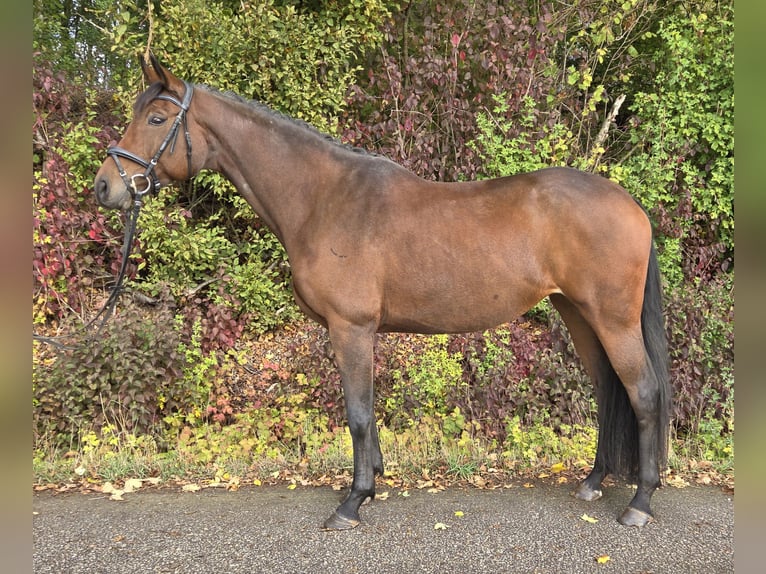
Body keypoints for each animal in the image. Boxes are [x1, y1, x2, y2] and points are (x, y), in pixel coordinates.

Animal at [94, 55, 670, 530]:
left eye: (156, 119)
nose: (105, 187)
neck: (323, 198)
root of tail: (632, 206)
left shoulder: (350, 327)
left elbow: (357, 414)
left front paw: (353, 502)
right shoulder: (358, 331)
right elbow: (367, 413)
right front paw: (372, 484)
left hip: (611, 318)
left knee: (642, 392)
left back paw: (639, 503)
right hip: (577, 313)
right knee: (607, 389)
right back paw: (593, 483)